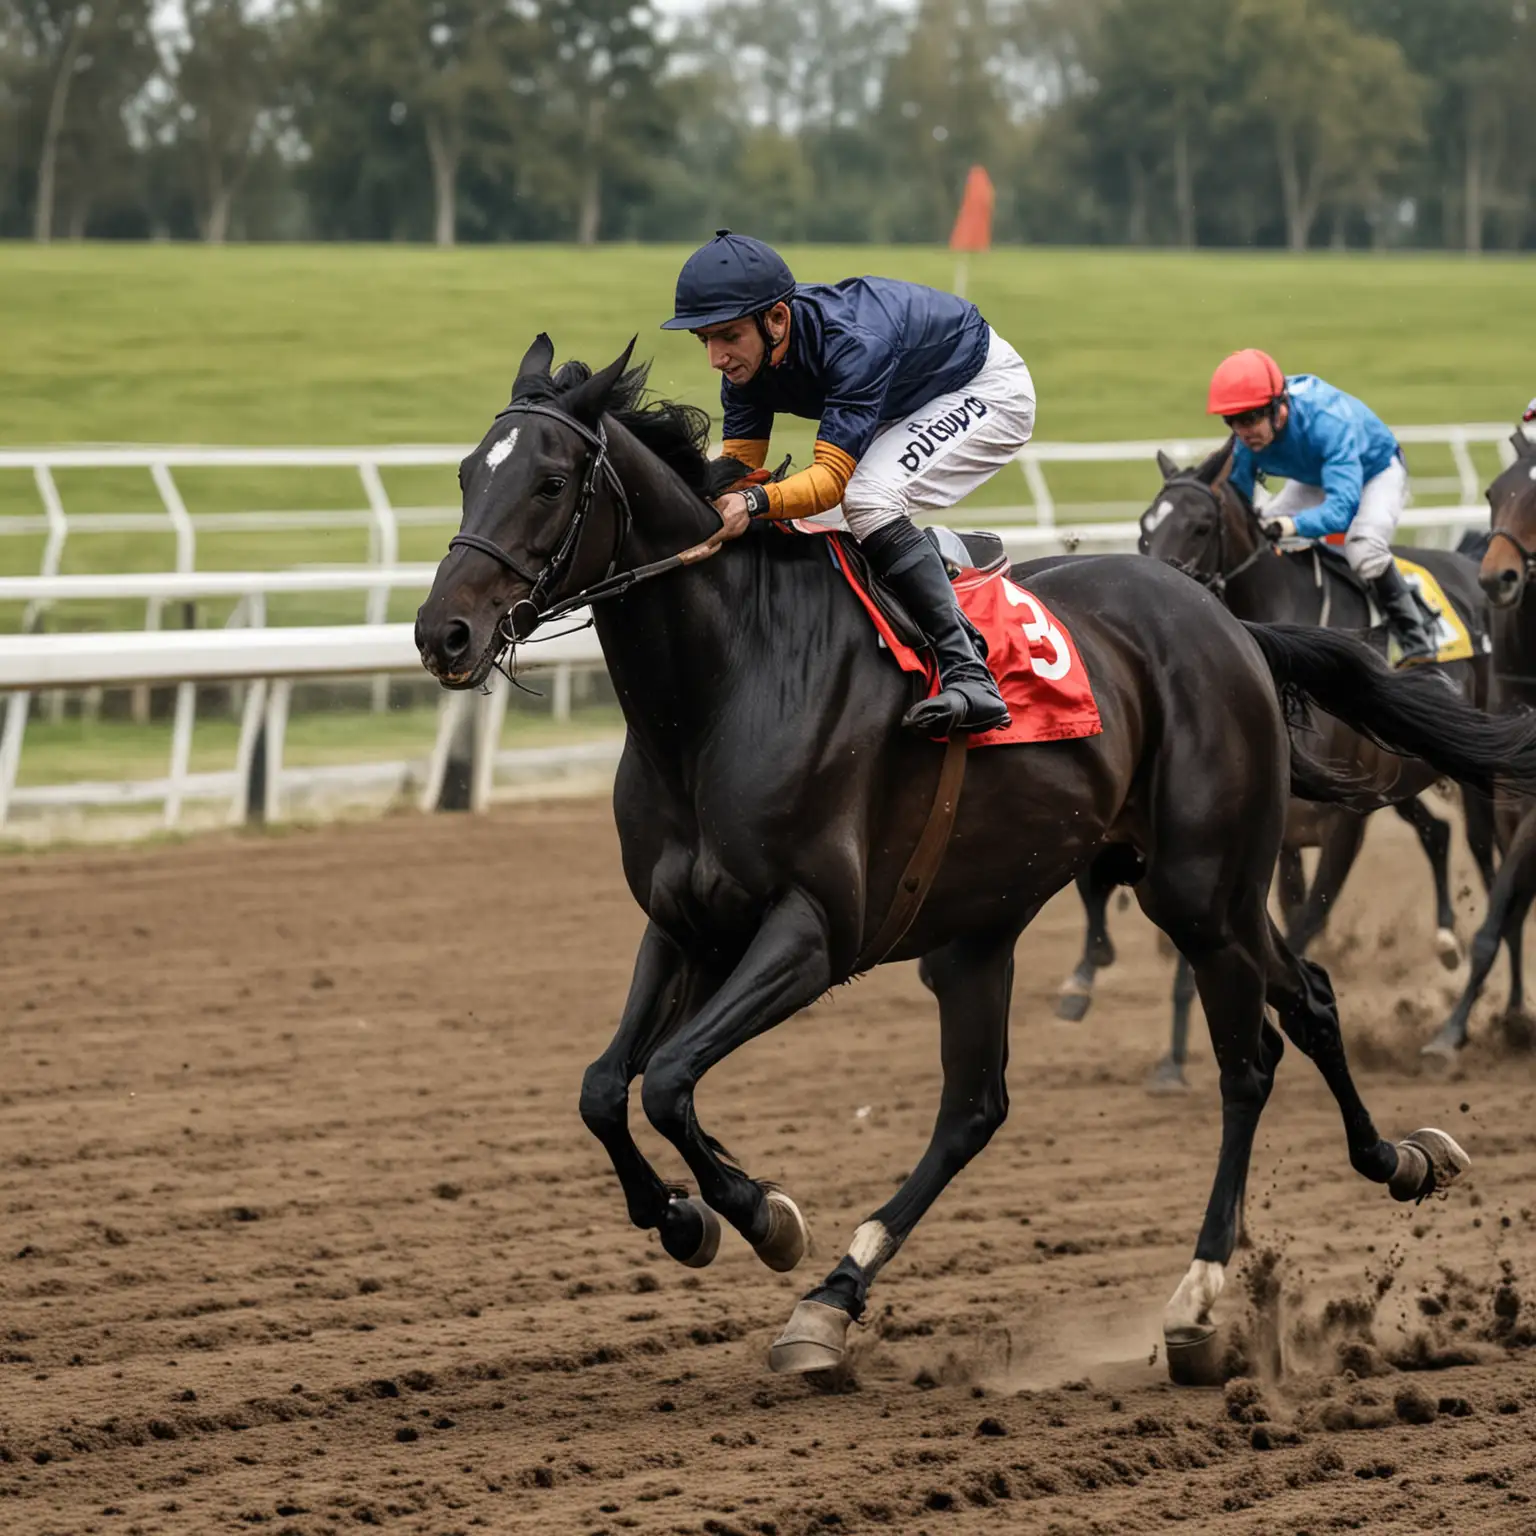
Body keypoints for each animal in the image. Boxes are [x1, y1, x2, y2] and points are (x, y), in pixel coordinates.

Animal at [414, 342, 1529, 1388]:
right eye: (468, 472)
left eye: (549, 481)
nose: (442, 633)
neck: (725, 687)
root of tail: (1230, 624)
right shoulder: (684, 922)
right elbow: (605, 1087)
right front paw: (687, 1220)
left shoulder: (812, 932)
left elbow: (672, 1080)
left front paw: (762, 1215)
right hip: (1022, 918)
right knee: (1020, 1093)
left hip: (1200, 887)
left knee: (1248, 1059)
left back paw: (1202, 1293)